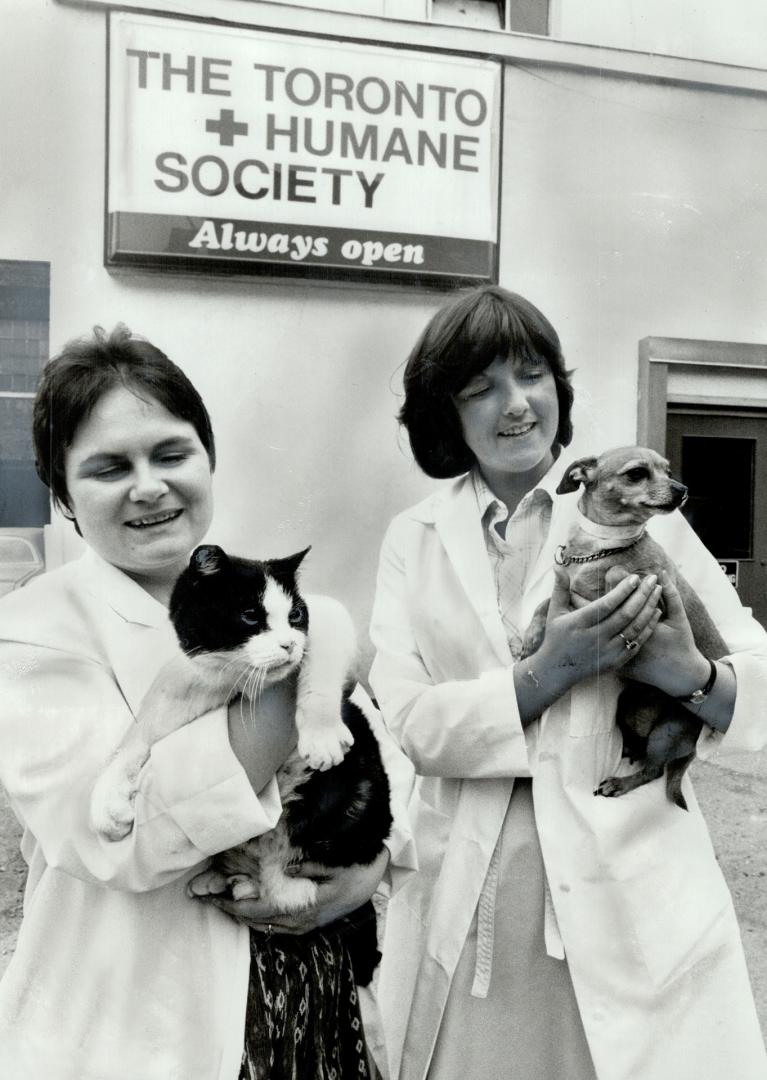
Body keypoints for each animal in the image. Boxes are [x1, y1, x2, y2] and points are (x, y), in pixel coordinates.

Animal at [90, 544, 393, 924]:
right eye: (250, 616)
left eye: (296, 614)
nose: (288, 645)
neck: (233, 683)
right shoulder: (178, 691)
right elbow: (136, 738)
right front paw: (107, 801)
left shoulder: (327, 618)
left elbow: (320, 670)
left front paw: (321, 732)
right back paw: (223, 879)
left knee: (289, 889)